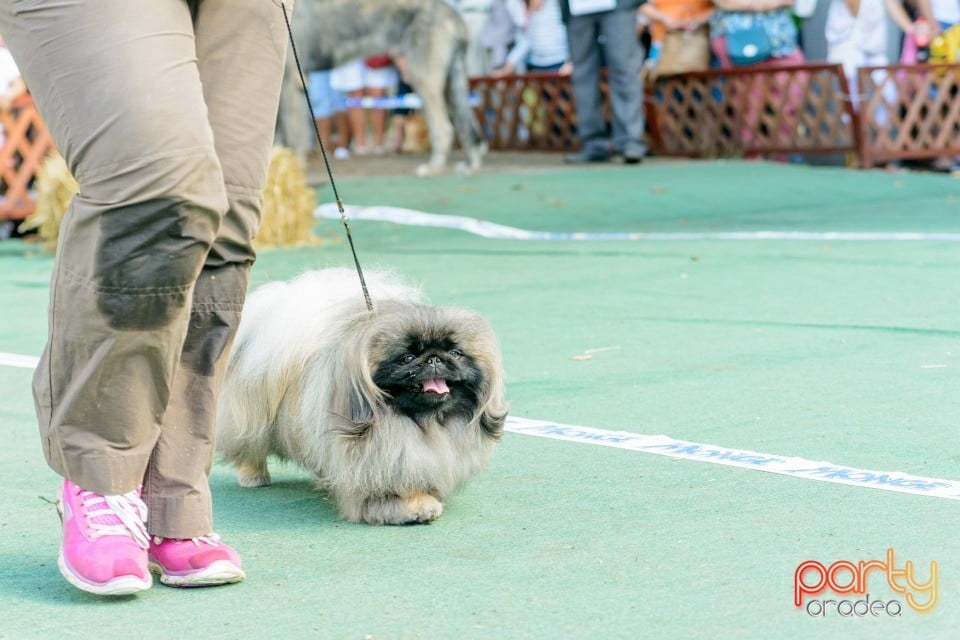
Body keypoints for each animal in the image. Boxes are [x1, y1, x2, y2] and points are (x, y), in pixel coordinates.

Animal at [214, 268, 506, 524]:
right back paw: (254, 476)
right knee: (249, 448)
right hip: (251, 422)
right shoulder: (383, 459)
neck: (425, 422)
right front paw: (416, 506)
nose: (434, 359)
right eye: (407, 358)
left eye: (455, 353)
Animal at [278, 0, 488, 175]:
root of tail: (453, 14)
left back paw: (434, 167)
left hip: (424, 77)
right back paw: (471, 164)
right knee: (467, 124)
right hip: (451, 82)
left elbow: (294, 132)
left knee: (444, 127)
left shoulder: (292, 80)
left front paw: (293, 169)